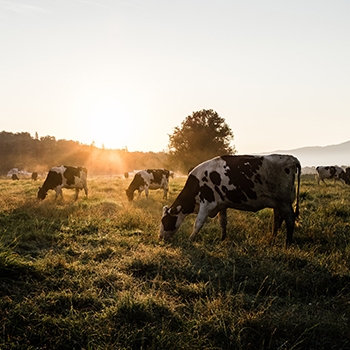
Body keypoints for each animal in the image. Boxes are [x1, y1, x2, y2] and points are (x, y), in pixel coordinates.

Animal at [160, 154, 300, 247]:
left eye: (164, 221)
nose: (160, 238)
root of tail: (291, 158)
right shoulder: (222, 205)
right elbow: (223, 222)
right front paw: (222, 239)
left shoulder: (207, 204)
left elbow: (198, 223)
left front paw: (190, 239)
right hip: (278, 204)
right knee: (277, 221)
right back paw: (272, 239)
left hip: (284, 202)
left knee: (290, 220)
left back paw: (287, 243)